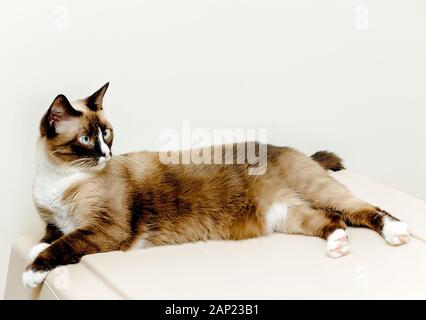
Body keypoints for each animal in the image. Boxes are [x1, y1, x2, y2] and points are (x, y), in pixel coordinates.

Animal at [22, 83, 410, 288]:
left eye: (107, 134)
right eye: (87, 139)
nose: (106, 154)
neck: (59, 176)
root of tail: (289, 148)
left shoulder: (105, 229)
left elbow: (62, 246)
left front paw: (31, 273)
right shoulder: (55, 221)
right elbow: (48, 237)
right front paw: (34, 251)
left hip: (320, 192)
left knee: (366, 210)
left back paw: (397, 233)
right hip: (287, 214)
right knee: (333, 221)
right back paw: (338, 245)